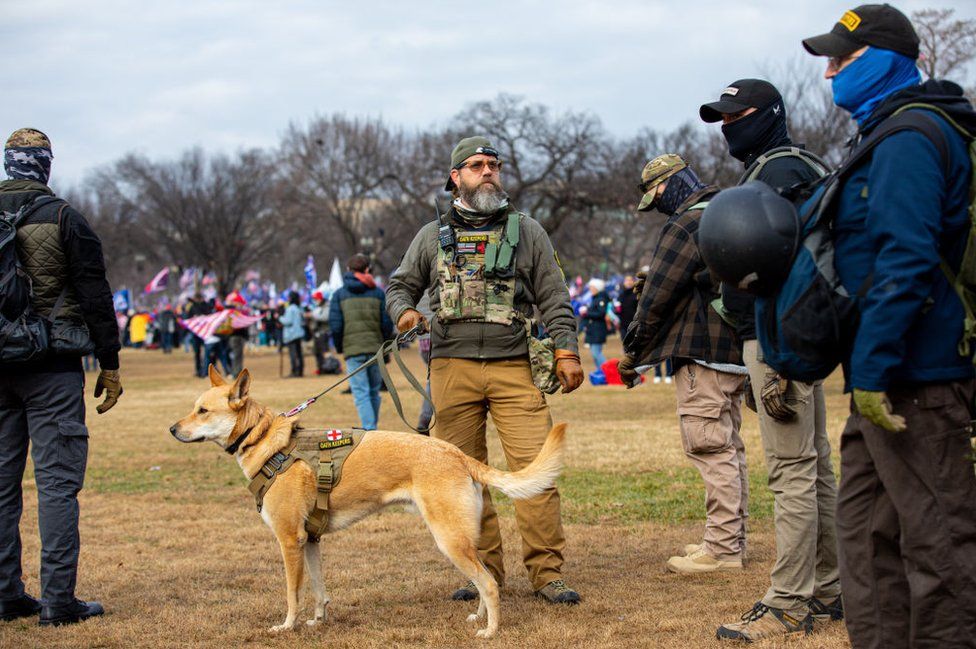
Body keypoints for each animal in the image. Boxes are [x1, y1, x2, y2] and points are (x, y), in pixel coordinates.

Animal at [168, 364, 564, 636]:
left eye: (202, 411)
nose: (172, 429)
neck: (266, 442)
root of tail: (456, 454)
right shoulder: (310, 541)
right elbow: (318, 589)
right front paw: (318, 621)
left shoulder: (289, 541)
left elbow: (293, 593)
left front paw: (287, 626)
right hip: (463, 540)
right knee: (486, 580)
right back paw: (479, 617)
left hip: (450, 541)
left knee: (490, 584)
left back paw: (490, 630)